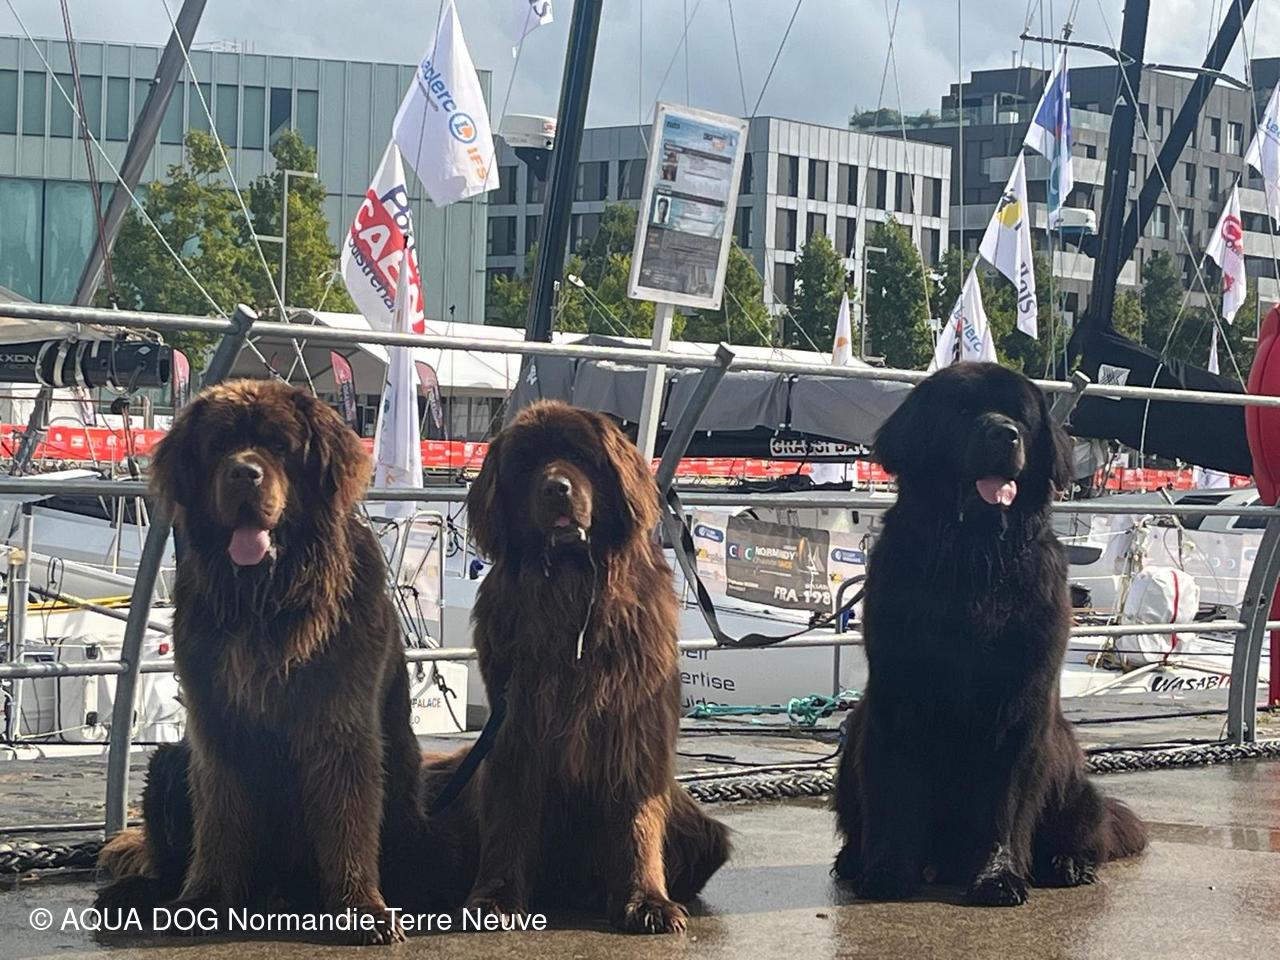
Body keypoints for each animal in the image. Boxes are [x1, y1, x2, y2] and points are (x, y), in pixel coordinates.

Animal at [95, 380, 425, 944]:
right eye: (219, 446)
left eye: (278, 446)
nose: (243, 473)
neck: (265, 601)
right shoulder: (216, 721)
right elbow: (220, 819)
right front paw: (204, 899)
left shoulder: (339, 721)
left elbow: (347, 816)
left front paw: (362, 909)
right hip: (168, 763)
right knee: (165, 856)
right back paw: (133, 895)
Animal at [421, 400, 730, 934]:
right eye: (527, 464)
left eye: (581, 456)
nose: (556, 488)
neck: (571, 586)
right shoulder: (515, 727)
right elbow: (509, 819)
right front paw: (494, 899)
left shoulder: (633, 731)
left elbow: (635, 822)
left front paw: (647, 901)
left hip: (702, 830)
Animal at [832, 363, 1146, 906]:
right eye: (962, 410)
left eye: (1020, 415)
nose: (1005, 433)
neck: (974, 559)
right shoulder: (897, 698)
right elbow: (895, 794)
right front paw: (888, 873)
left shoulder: (1020, 706)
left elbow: (1006, 805)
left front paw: (999, 878)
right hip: (854, 738)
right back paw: (854, 861)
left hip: (1072, 774)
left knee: (1088, 830)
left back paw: (1066, 864)